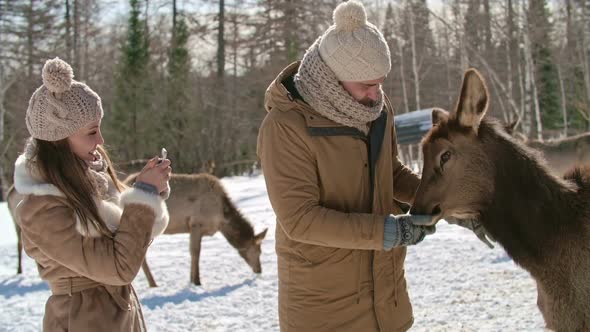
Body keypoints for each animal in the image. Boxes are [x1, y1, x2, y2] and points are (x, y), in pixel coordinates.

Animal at [125, 172, 268, 286]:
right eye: (258, 251)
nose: (259, 270)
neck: (222, 218)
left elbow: (193, 253)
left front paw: (191, 279)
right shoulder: (196, 224)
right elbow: (195, 252)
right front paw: (197, 281)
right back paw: (152, 284)